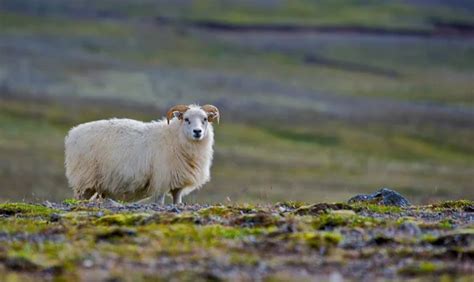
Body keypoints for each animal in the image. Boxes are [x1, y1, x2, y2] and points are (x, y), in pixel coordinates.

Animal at [65, 104, 220, 205]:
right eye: (186, 119)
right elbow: (159, 203)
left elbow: (177, 202)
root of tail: (72, 134)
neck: (174, 137)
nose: (197, 132)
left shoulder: (177, 184)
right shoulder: (161, 181)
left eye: (205, 119)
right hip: (84, 180)